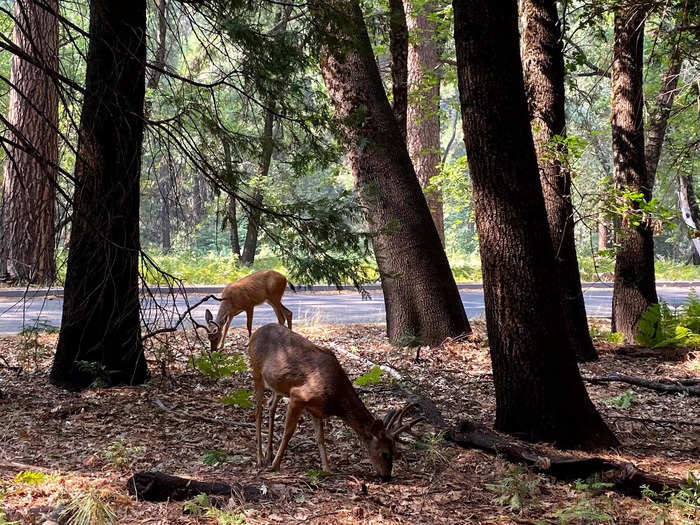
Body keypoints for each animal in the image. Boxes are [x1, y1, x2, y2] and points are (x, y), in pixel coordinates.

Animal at [247, 326, 422, 482]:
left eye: (395, 450)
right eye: (385, 453)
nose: (387, 477)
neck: (336, 400)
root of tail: (255, 333)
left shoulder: (316, 409)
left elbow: (320, 438)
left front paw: (327, 469)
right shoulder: (298, 396)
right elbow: (288, 433)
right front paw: (275, 466)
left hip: (277, 386)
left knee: (270, 405)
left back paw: (268, 454)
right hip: (256, 369)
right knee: (258, 411)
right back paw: (261, 458)